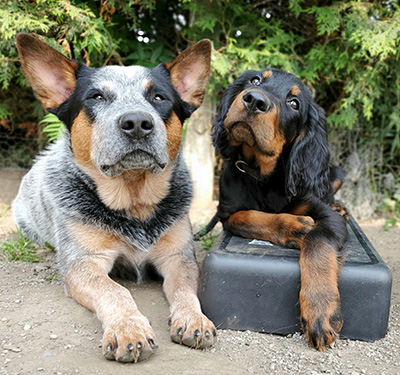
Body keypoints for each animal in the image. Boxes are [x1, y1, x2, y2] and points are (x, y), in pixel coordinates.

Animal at [13, 34, 216, 364]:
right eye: (96, 97)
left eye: (158, 97)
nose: (137, 122)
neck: (133, 202)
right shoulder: (83, 263)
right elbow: (115, 291)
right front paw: (128, 329)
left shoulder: (178, 257)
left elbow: (186, 290)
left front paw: (193, 317)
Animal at [206, 68, 346, 352]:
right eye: (255, 80)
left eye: (294, 103)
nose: (254, 101)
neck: (262, 175)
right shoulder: (227, 213)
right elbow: (248, 216)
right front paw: (295, 226)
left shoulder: (328, 218)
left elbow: (318, 242)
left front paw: (320, 308)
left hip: (337, 172)